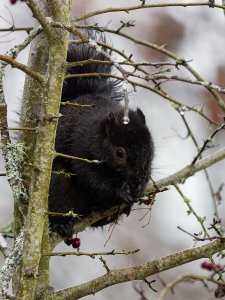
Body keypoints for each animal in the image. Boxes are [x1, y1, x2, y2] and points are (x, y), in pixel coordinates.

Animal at [48, 35, 155, 238]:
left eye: (150, 148)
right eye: (120, 153)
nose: (139, 176)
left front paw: (140, 187)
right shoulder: (81, 149)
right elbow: (91, 176)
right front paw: (120, 191)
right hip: (57, 185)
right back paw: (61, 224)